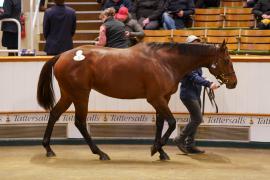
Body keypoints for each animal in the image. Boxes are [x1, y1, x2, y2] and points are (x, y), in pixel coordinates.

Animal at [37, 41, 236, 160]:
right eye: (227, 60)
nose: (234, 82)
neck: (165, 61)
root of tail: (62, 55)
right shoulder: (155, 99)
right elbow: (171, 123)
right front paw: (156, 149)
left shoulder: (163, 98)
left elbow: (160, 123)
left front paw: (161, 151)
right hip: (80, 95)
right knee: (79, 122)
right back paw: (100, 153)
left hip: (69, 94)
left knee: (54, 114)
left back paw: (48, 149)